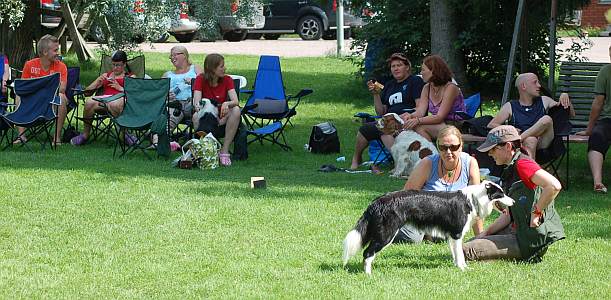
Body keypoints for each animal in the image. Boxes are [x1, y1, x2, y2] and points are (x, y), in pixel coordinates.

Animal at [342, 180, 512, 274]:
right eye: (501, 194)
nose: (514, 201)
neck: (473, 200)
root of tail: (377, 202)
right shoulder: (457, 233)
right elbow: (461, 255)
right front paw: (463, 269)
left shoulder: (451, 236)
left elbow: (456, 254)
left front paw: (458, 267)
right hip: (386, 234)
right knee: (367, 253)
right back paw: (368, 274)